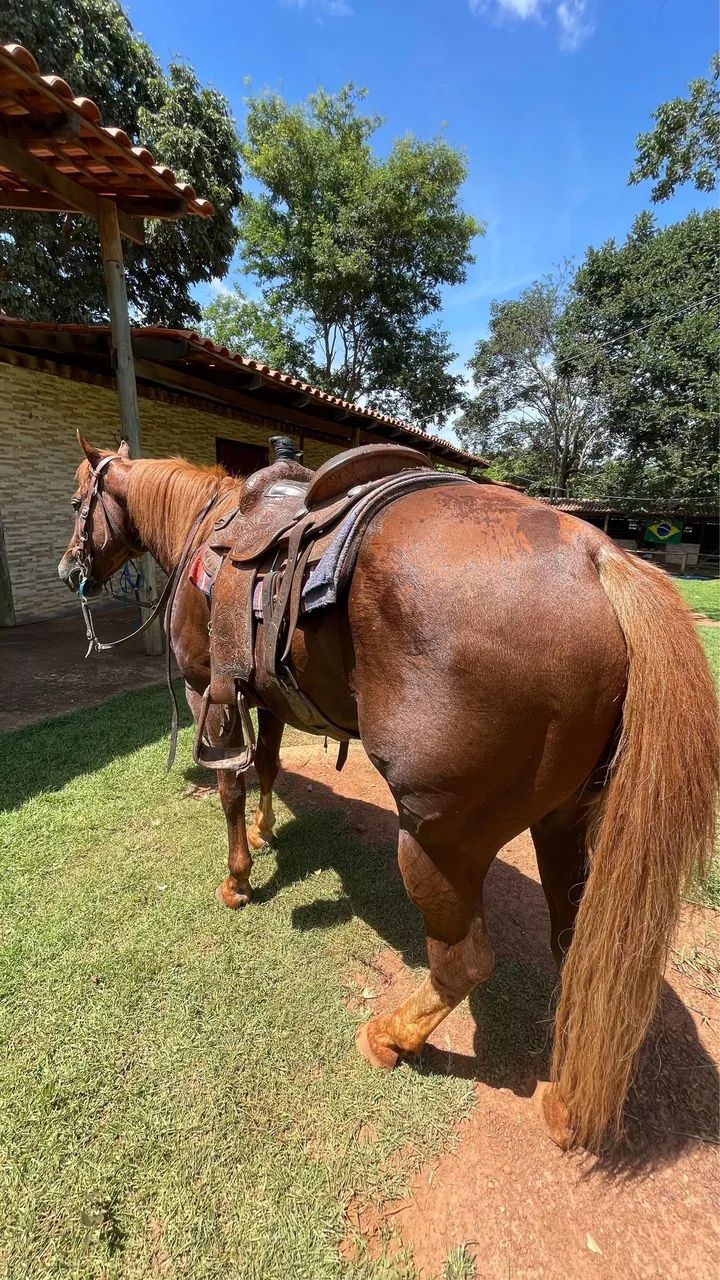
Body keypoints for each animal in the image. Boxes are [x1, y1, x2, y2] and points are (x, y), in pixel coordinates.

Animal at [58, 434, 718, 1152]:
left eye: (78, 500)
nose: (68, 569)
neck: (208, 531)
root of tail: (600, 561)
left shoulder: (211, 690)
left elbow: (232, 787)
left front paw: (237, 878)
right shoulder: (266, 697)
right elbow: (269, 767)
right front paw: (266, 830)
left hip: (437, 840)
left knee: (464, 963)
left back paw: (391, 1037)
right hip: (564, 825)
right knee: (576, 951)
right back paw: (567, 1095)